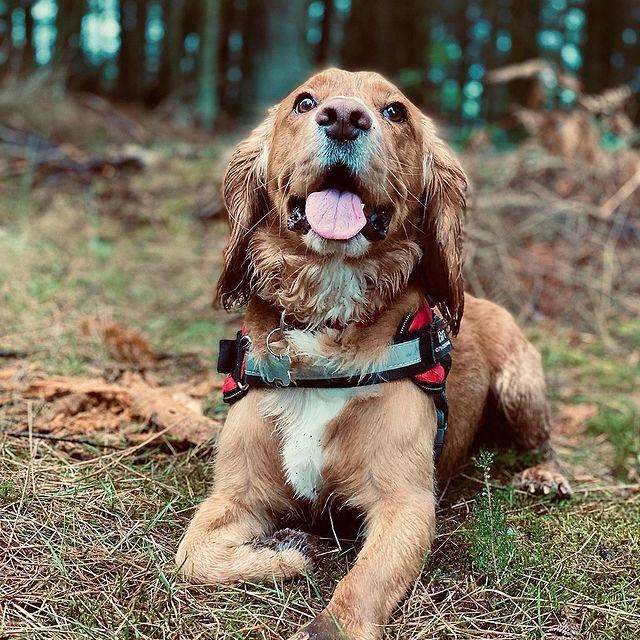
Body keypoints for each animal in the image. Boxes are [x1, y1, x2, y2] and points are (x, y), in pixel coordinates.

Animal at [176, 69, 568, 640]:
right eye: (303, 102)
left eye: (395, 111)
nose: (343, 117)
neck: (327, 329)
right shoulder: (235, 493)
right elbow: (191, 556)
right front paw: (286, 550)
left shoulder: (404, 502)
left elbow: (360, 587)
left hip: (520, 388)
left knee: (542, 439)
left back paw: (545, 475)